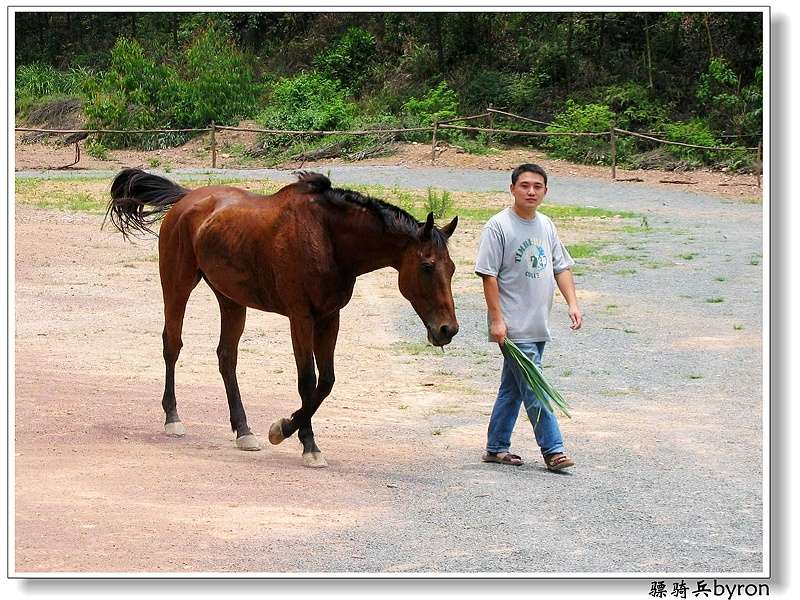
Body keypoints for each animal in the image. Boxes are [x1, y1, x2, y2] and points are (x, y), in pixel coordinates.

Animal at [106, 170, 460, 468]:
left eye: (453, 268)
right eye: (427, 266)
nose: (448, 329)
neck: (327, 238)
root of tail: (187, 198)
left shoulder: (329, 318)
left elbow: (326, 382)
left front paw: (290, 431)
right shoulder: (300, 317)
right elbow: (307, 382)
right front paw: (297, 438)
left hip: (231, 300)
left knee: (226, 357)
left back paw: (244, 430)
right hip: (177, 285)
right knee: (173, 345)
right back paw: (173, 418)